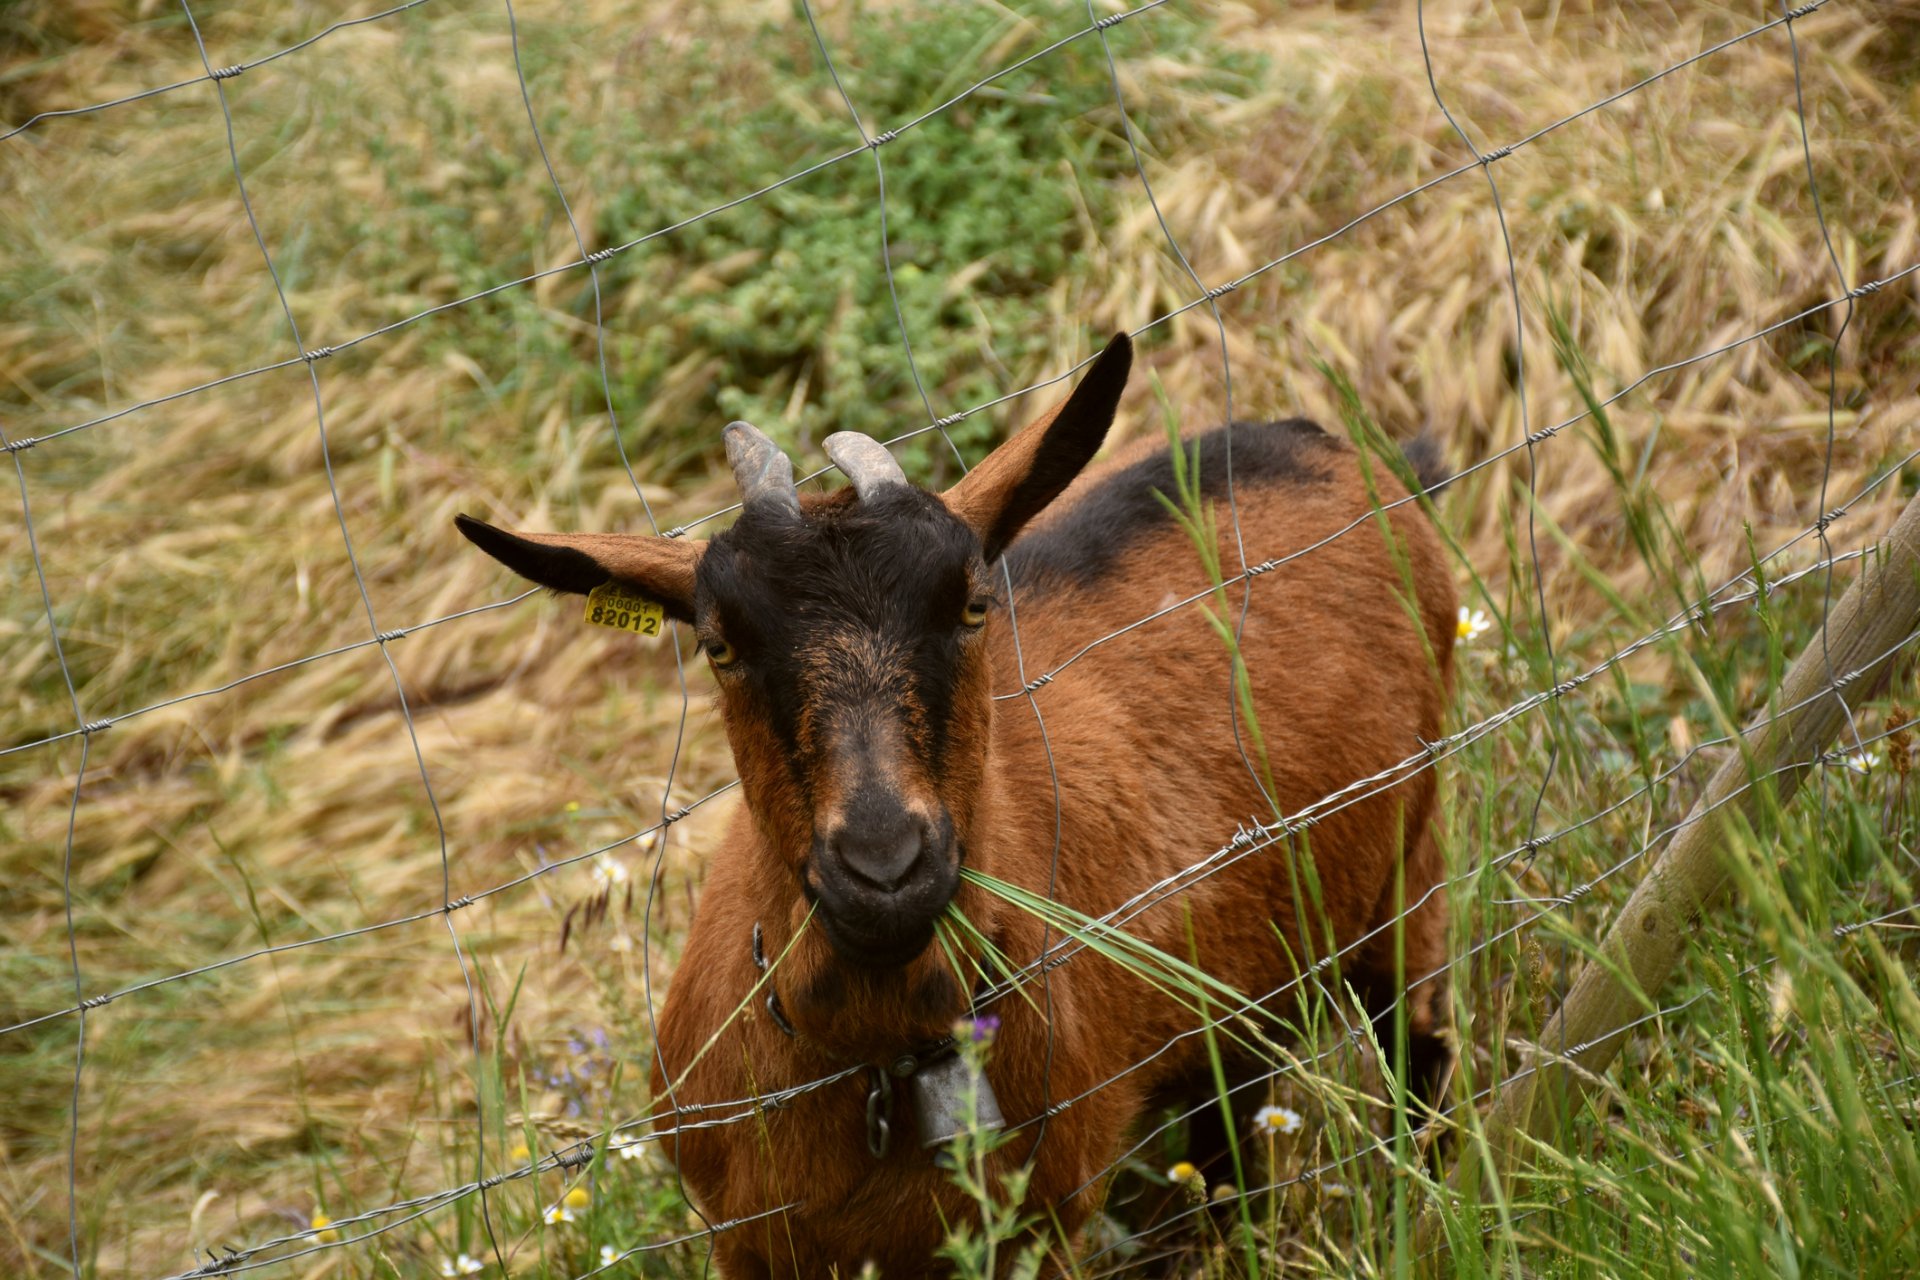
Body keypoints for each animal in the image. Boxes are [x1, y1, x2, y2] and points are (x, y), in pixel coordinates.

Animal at [456, 335, 1451, 1274]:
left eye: (973, 605)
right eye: (718, 644)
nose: (885, 866)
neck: (874, 1059)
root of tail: (1314, 440)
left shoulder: (1043, 1223)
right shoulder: (743, 1238)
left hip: (1415, 864)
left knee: (1421, 1052)